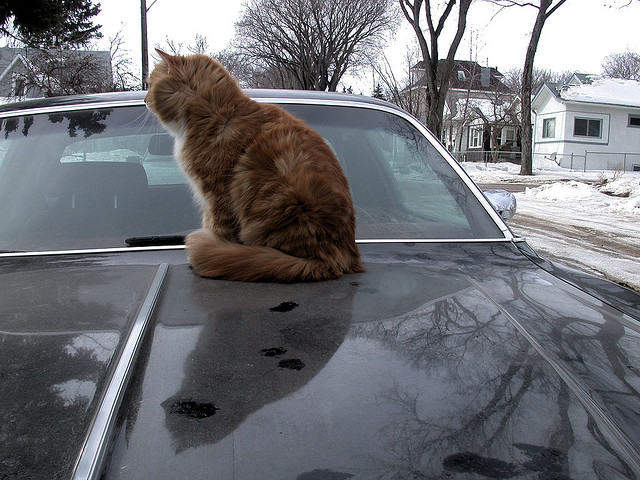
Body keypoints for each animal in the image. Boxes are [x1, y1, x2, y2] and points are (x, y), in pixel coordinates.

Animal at [145, 50, 364, 282]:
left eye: (150, 85)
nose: (145, 99)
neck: (217, 113)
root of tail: (337, 261)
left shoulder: (215, 195)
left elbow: (217, 230)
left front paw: (214, 248)